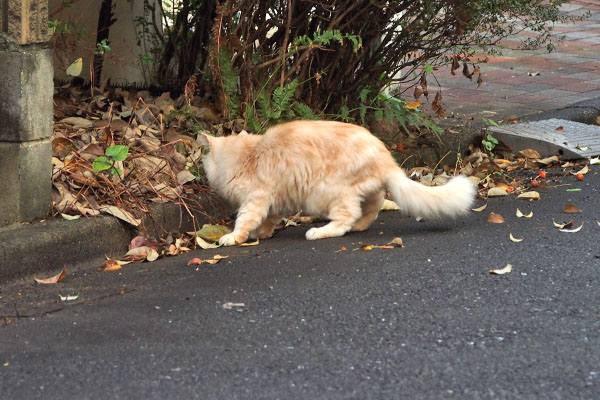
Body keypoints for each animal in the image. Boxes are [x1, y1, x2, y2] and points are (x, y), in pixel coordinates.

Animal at [199, 121, 476, 247]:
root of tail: (385, 156)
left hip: (328, 192)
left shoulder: (256, 199)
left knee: (346, 217)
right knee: (373, 207)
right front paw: (263, 233)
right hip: (365, 190)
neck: (249, 155)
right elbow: (270, 219)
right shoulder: (276, 199)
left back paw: (321, 231)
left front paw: (234, 237)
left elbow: (245, 221)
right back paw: (360, 226)